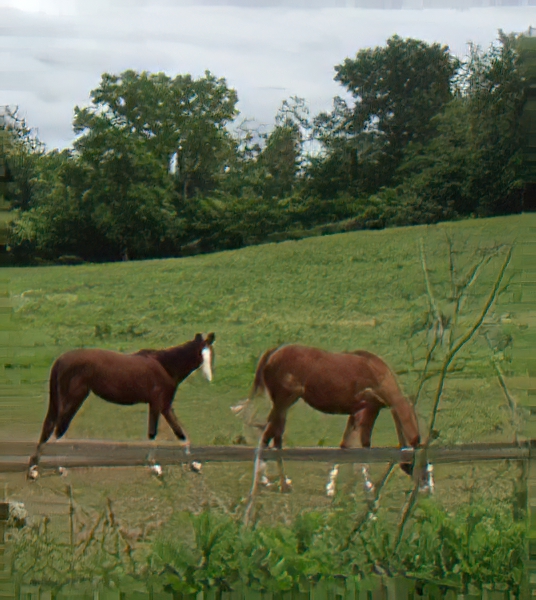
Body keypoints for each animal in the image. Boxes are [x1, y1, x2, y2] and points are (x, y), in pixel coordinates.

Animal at [27, 332, 216, 478]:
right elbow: (153, 433)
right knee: (58, 429)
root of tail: (60, 360)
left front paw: (194, 464)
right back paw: (56, 467)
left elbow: (179, 433)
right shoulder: (158, 404)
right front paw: (154, 466)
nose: (209, 378)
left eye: (211, 354)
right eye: (201, 355)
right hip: (74, 399)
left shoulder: (164, 406)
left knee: (51, 428)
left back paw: (36, 468)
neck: (165, 366)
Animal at [233, 346, 422, 492]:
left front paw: (335, 488)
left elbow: (345, 445)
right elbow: (364, 445)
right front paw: (367, 486)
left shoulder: (356, 412)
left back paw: (273, 482)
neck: (376, 372)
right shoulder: (368, 409)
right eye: (415, 448)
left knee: (272, 437)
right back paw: (276, 483)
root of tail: (273, 353)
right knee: (271, 437)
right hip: (283, 404)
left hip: (282, 407)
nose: (413, 473)